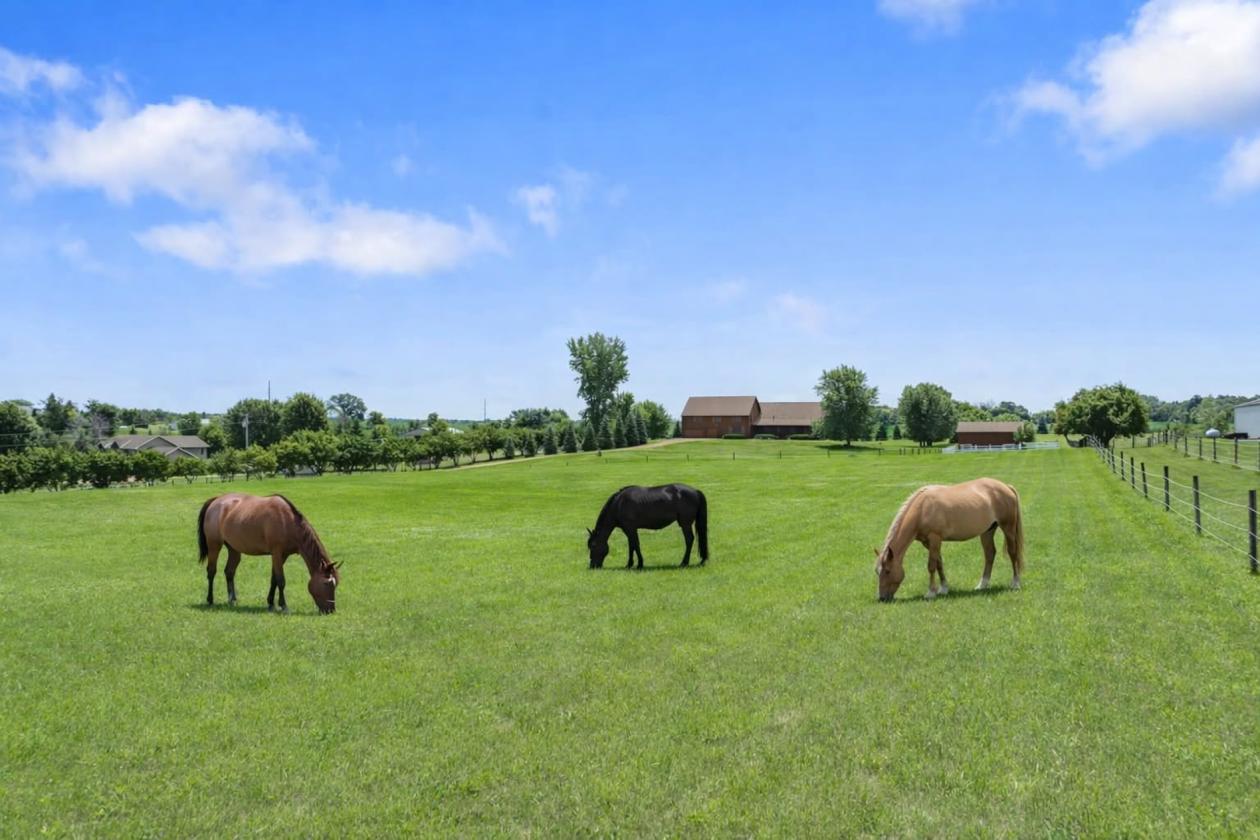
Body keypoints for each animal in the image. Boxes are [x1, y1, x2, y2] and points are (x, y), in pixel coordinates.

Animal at [197, 493, 340, 613]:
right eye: (326, 583)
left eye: (336, 584)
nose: (331, 610)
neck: (287, 521)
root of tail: (215, 500)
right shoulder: (277, 553)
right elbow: (281, 580)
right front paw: (284, 606)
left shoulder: (283, 555)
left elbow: (274, 579)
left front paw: (271, 603)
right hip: (214, 545)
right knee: (211, 571)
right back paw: (210, 599)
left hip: (234, 549)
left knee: (229, 572)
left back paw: (232, 600)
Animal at [875, 477, 1023, 602]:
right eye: (877, 571)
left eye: (887, 571)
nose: (882, 598)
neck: (922, 509)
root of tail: (1006, 486)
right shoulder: (928, 542)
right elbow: (939, 563)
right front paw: (944, 589)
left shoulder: (934, 538)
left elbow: (931, 565)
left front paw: (931, 592)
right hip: (987, 531)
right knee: (990, 554)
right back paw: (982, 585)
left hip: (1008, 528)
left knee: (1012, 552)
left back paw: (1015, 583)